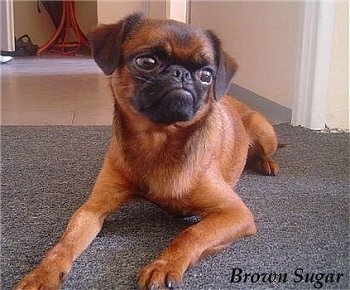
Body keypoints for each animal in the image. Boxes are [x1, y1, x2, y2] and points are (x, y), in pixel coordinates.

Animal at [15, 13, 278, 290]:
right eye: (147, 62)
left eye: (207, 75)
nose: (181, 73)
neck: (158, 141)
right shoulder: (91, 210)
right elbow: (65, 243)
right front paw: (42, 273)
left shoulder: (235, 213)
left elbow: (191, 234)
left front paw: (164, 265)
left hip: (263, 130)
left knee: (264, 151)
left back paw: (267, 164)